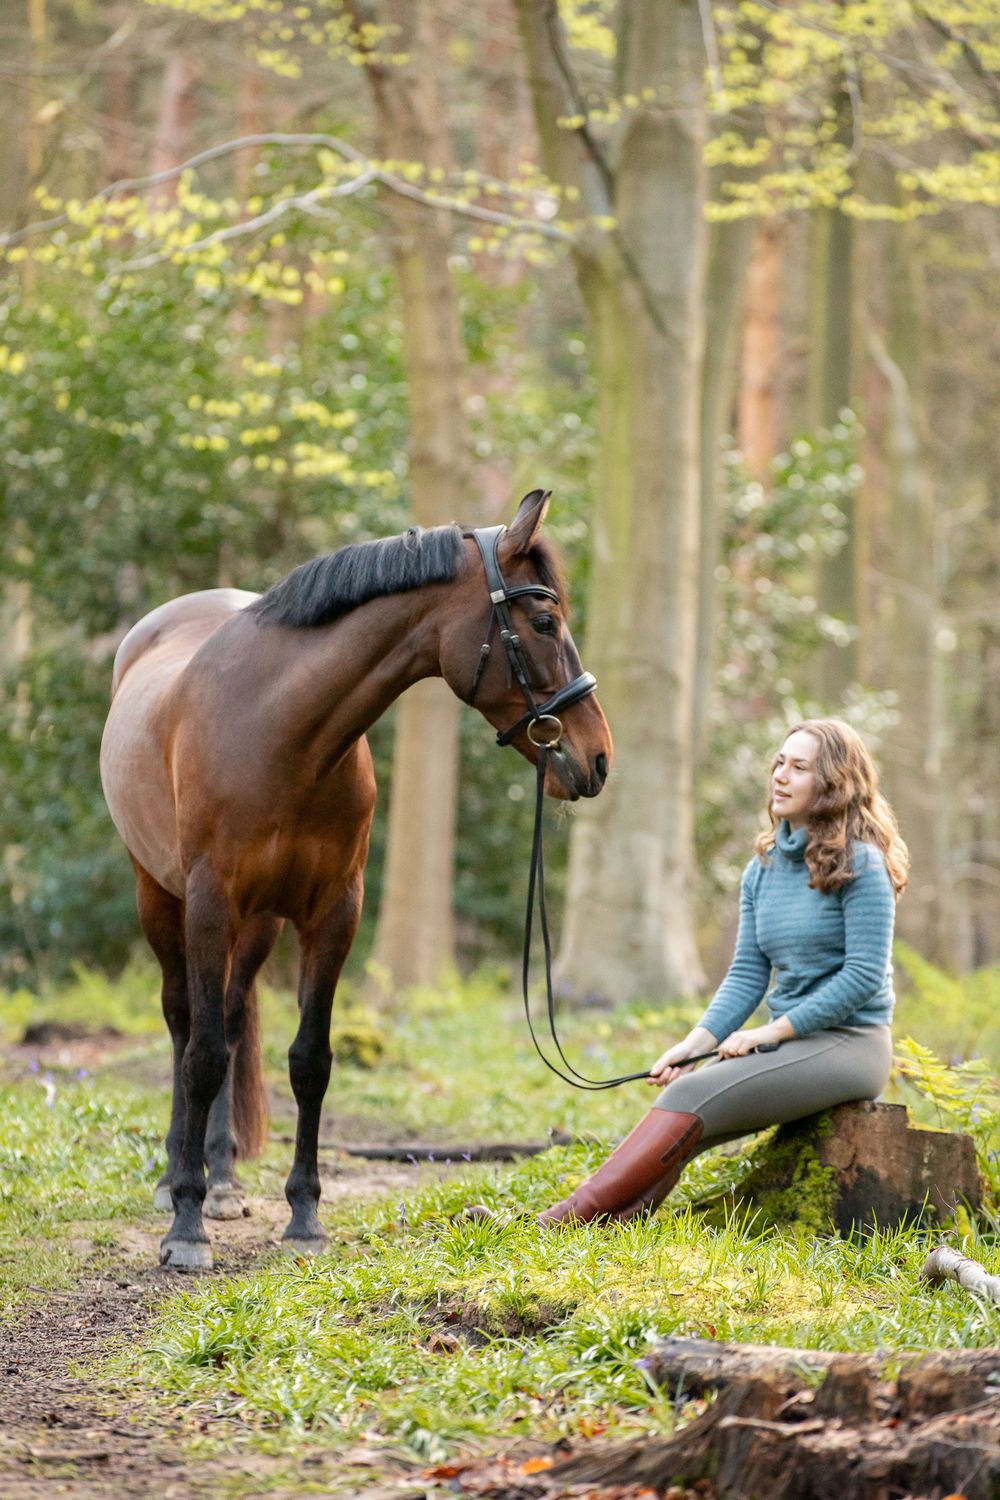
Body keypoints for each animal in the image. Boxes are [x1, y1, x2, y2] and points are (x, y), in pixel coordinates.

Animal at [100, 489, 612, 1268]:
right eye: (545, 622)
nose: (599, 758)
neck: (277, 730)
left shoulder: (334, 913)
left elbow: (309, 1061)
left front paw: (304, 1217)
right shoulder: (209, 906)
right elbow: (202, 1056)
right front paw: (184, 1227)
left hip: (258, 926)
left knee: (233, 1016)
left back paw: (223, 1182)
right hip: (162, 900)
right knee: (187, 1025)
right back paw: (177, 1182)